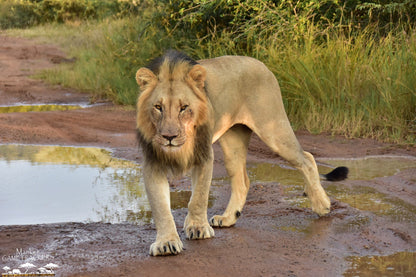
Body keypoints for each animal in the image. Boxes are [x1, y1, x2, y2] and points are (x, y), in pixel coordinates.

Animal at [136, 49, 348, 254]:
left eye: (183, 108)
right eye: (158, 107)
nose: (169, 137)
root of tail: (261, 64)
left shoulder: (204, 155)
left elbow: (198, 198)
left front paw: (198, 228)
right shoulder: (152, 162)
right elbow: (161, 207)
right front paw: (166, 243)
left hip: (273, 129)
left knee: (307, 158)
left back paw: (322, 205)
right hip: (233, 145)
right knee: (243, 180)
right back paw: (228, 218)